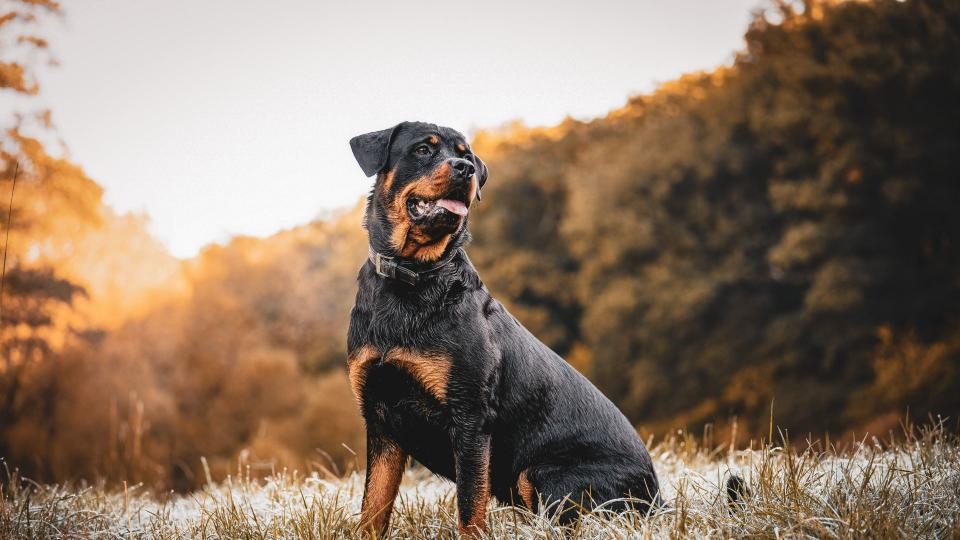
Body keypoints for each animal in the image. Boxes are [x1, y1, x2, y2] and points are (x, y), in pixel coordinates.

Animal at [348, 120, 664, 532]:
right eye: (422, 150)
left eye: (465, 155)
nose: (465, 169)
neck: (413, 276)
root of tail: (658, 498)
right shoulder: (380, 418)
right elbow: (374, 505)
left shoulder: (470, 417)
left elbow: (470, 506)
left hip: (544, 474)